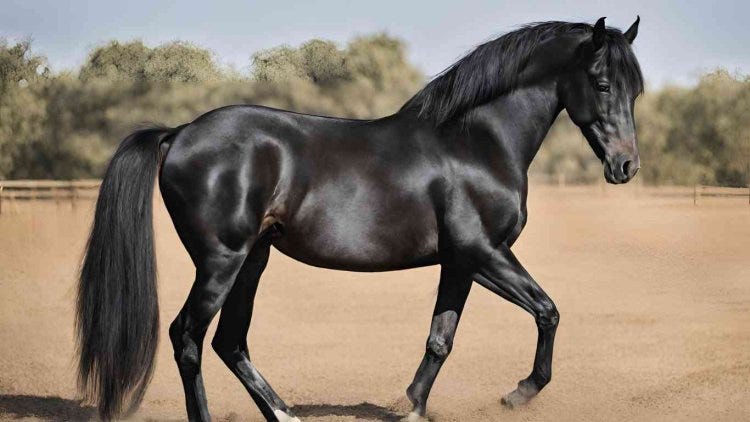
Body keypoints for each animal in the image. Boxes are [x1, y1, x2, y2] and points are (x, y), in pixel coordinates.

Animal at [76, 16, 642, 421]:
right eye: (602, 83)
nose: (626, 166)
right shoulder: (484, 252)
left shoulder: (461, 263)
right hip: (221, 262)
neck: (476, 143)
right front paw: (520, 392)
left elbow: (441, 339)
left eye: (633, 89)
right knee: (188, 338)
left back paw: (285, 414)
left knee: (229, 342)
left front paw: (411, 407)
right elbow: (548, 311)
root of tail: (180, 132)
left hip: (252, 260)